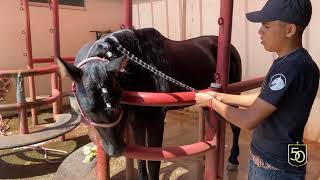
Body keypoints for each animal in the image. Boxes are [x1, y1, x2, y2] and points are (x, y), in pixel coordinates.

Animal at [58, 27, 242, 179]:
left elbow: (153, 163)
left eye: (117, 106)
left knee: (236, 127)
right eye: (88, 110)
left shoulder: (155, 120)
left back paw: (233, 160)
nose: (114, 151)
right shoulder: (136, 120)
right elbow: (141, 157)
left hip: (231, 95)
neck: (141, 69)